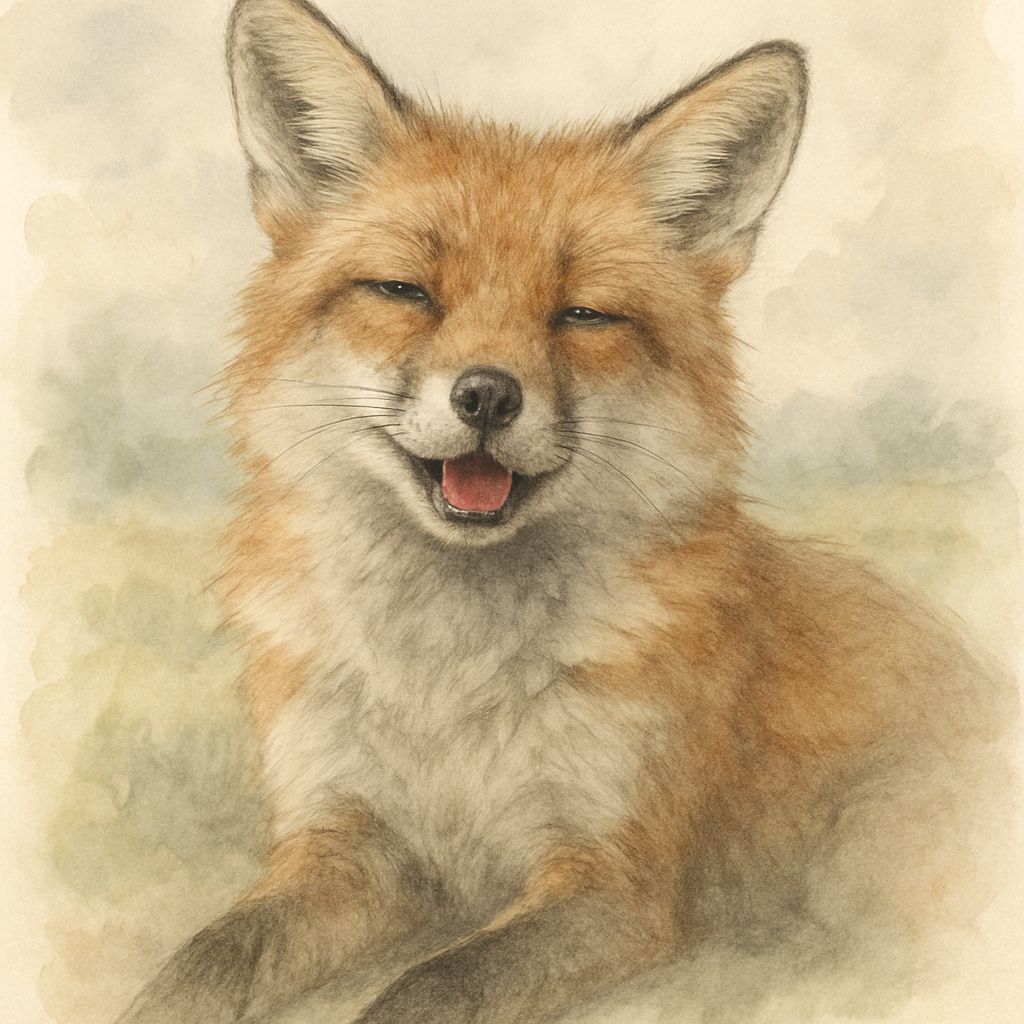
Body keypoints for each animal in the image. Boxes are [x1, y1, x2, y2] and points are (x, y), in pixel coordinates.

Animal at [117, 1, 1015, 1022]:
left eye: (582, 314)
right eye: (405, 292)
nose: (485, 395)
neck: (446, 683)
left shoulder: (612, 880)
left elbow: (432, 988)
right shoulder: (345, 843)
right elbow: (208, 960)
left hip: (870, 865)